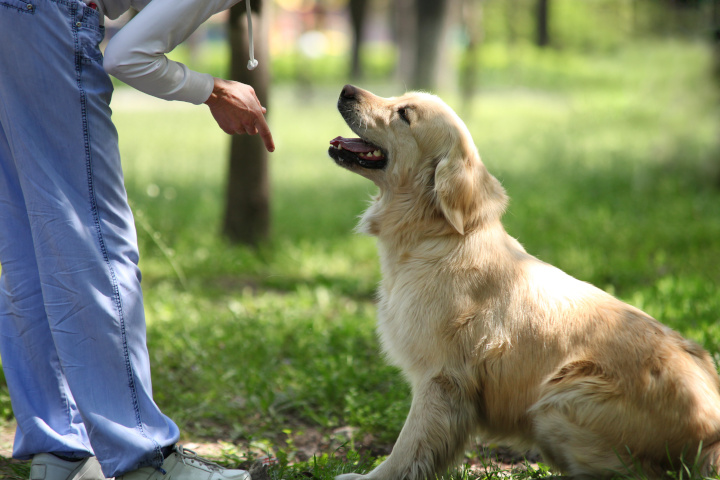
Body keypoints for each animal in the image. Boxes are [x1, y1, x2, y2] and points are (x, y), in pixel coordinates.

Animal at [330, 84, 720, 478]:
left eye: (404, 114)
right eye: (399, 98)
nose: (347, 89)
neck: (437, 236)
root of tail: (711, 435)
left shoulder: (441, 378)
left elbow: (409, 447)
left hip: (558, 401)